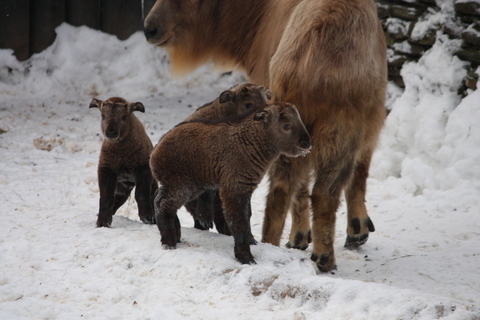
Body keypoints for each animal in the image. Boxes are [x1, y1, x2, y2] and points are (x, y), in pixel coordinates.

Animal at [90, 97, 158, 228]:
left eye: (124, 116)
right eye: (102, 115)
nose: (111, 133)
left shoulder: (143, 168)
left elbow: (141, 194)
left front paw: (147, 217)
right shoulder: (106, 169)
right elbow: (106, 196)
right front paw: (102, 222)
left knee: (152, 194)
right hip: (124, 184)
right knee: (118, 198)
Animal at [150, 103, 312, 264]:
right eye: (286, 125)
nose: (307, 143)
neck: (249, 142)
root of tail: (156, 150)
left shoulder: (246, 189)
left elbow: (247, 216)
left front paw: (250, 241)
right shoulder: (234, 189)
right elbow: (239, 222)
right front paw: (245, 256)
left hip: (190, 187)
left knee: (161, 199)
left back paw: (175, 236)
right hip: (181, 185)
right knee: (163, 204)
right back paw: (169, 241)